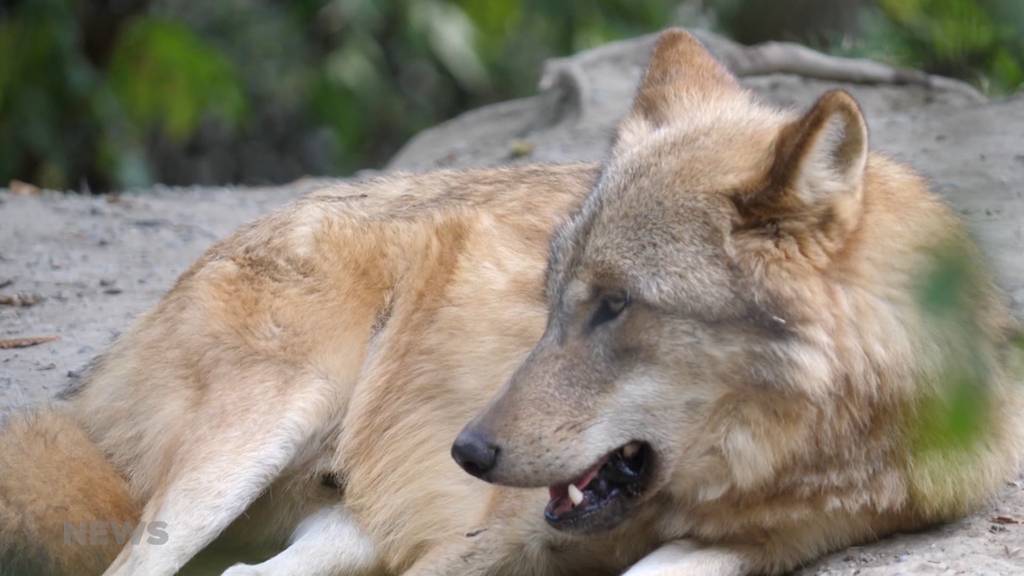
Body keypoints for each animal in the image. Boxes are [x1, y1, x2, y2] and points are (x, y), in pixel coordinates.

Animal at [2, 28, 1024, 573]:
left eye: (615, 306)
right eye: (553, 296)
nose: (469, 451)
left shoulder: (758, 547)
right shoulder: (479, 538)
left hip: (338, 533)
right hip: (246, 447)